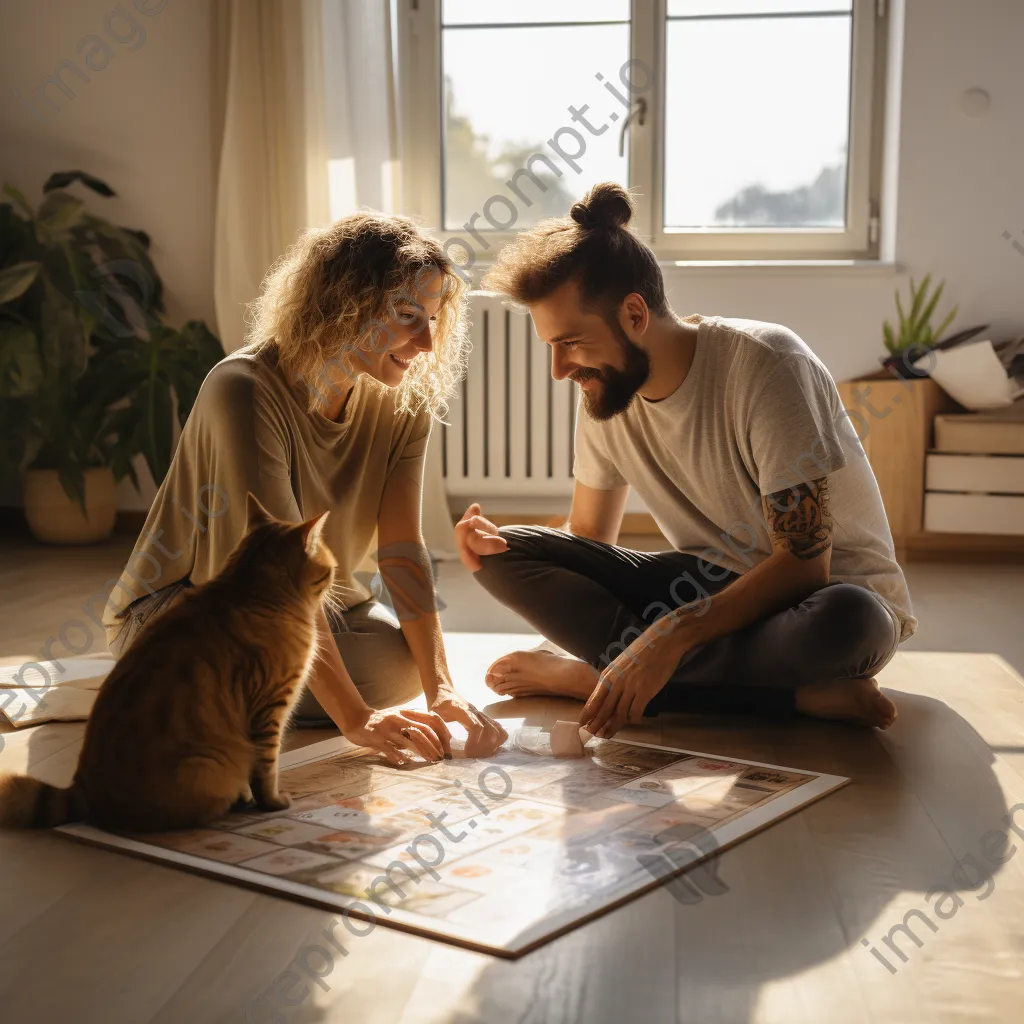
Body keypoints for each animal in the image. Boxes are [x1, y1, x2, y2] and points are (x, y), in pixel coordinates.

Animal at [0, 491, 335, 835]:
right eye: (331, 571)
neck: (250, 592)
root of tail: (83, 788)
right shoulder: (270, 710)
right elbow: (266, 768)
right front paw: (274, 802)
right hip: (209, 766)